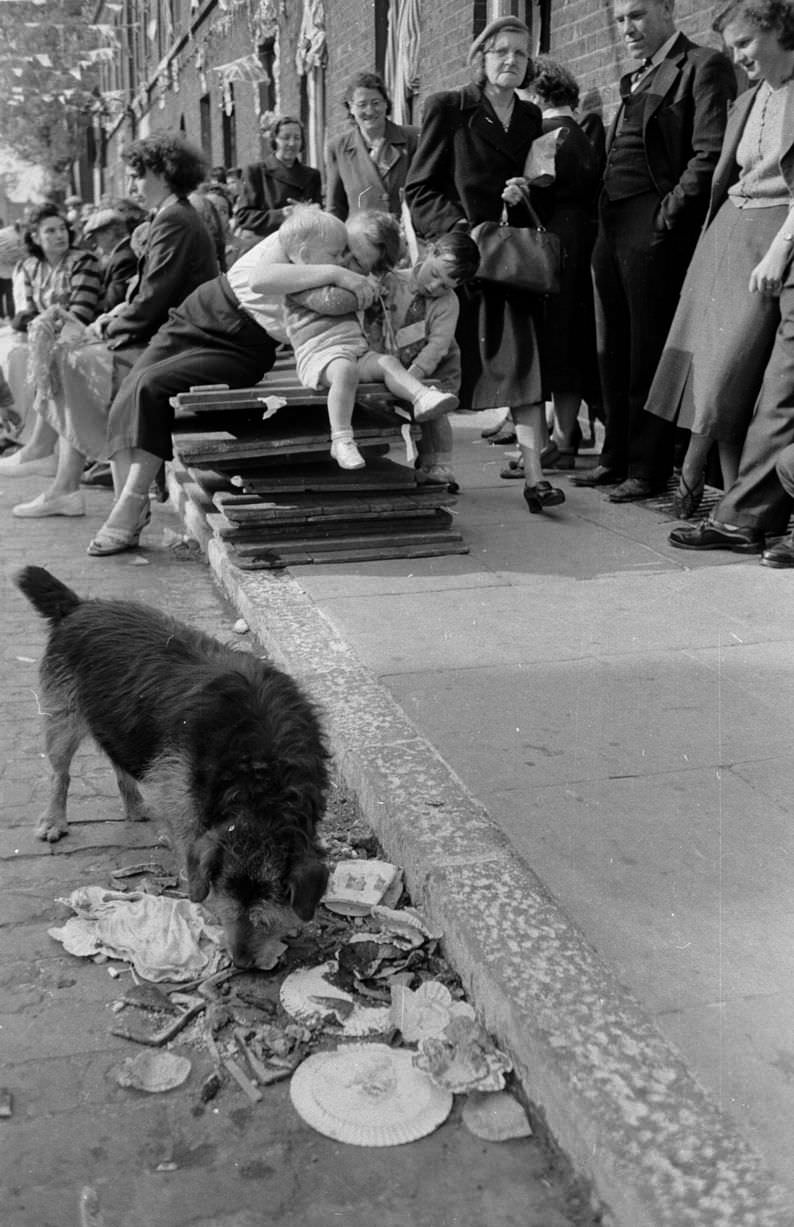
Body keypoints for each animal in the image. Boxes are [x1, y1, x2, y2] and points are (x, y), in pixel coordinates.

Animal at [15, 564, 331, 966]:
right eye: (225, 892)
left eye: (271, 897)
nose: (241, 961)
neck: (258, 774)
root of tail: (78, 606)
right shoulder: (183, 801)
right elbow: (188, 850)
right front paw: (201, 904)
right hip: (63, 716)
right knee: (61, 773)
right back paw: (54, 821)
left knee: (120, 764)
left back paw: (135, 806)